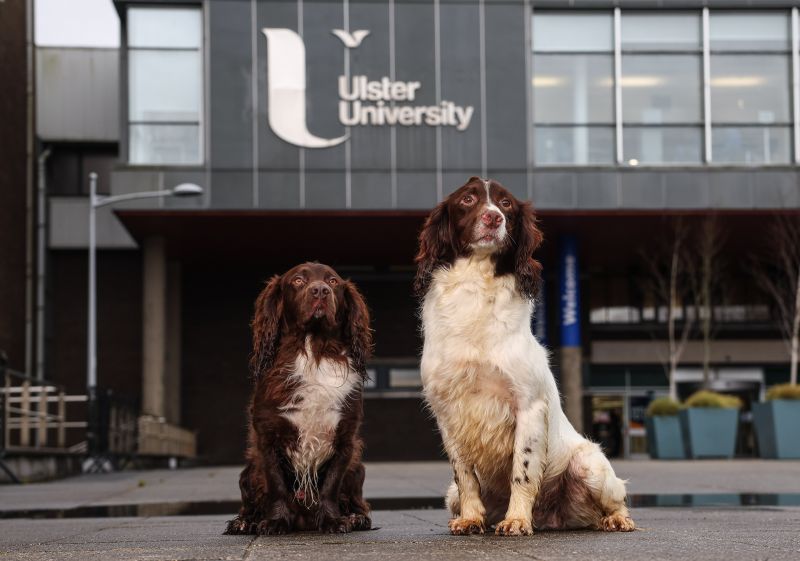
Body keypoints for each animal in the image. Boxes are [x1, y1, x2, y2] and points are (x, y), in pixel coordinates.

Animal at [225, 262, 372, 532]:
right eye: (298, 280)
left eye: (333, 282)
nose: (320, 290)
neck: (313, 351)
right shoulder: (268, 438)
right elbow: (277, 486)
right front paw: (274, 522)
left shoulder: (345, 440)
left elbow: (330, 486)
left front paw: (333, 520)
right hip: (249, 471)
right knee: (251, 502)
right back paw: (245, 522)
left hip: (357, 466)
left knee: (356, 499)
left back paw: (356, 517)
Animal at [416, 177, 636, 536]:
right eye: (467, 200)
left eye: (506, 204)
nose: (493, 218)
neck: (478, 284)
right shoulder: (447, 413)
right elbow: (465, 476)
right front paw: (471, 518)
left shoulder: (528, 405)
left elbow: (523, 469)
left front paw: (517, 519)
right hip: (450, 495)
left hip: (590, 465)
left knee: (616, 499)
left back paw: (617, 519)